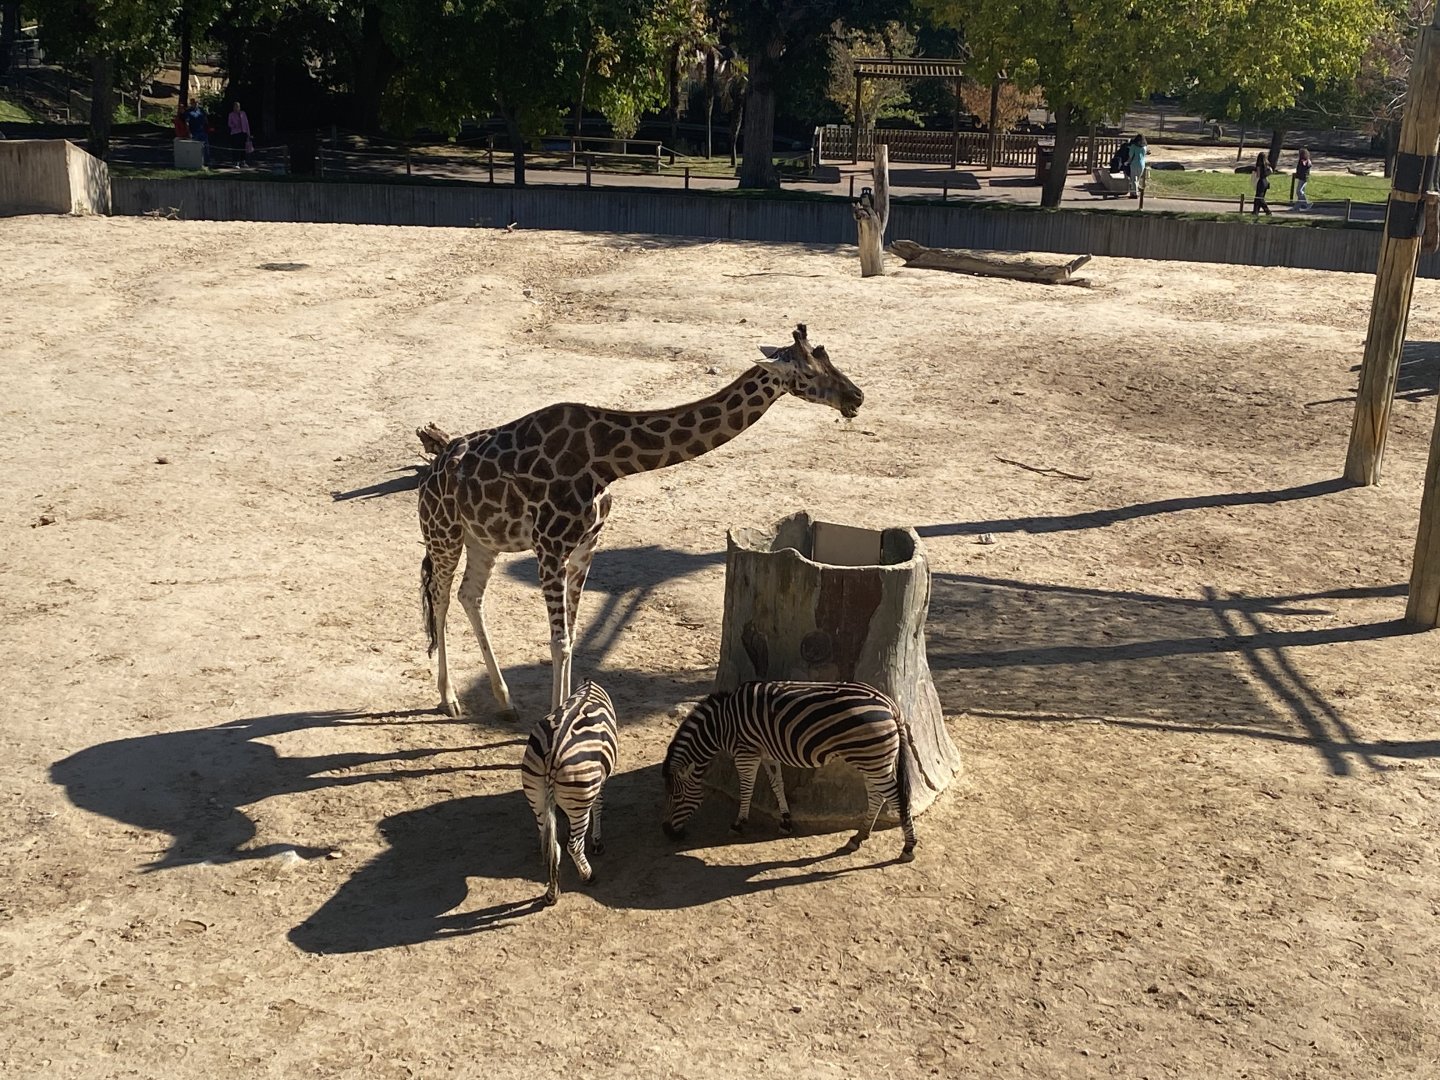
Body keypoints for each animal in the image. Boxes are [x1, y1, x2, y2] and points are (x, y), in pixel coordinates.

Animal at [417, 323, 865, 718]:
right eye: (809, 372)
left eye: (830, 359)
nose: (856, 397)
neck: (607, 461)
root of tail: (431, 474)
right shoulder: (550, 548)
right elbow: (559, 641)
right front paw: (557, 719)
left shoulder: (586, 545)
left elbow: (572, 635)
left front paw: (566, 711)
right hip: (444, 534)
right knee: (440, 597)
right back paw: (449, 699)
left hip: (484, 540)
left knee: (470, 595)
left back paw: (504, 700)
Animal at [520, 681, 618, 905]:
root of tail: (553, 752)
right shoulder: (599, 779)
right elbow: (598, 805)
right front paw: (597, 841)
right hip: (579, 799)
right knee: (573, 846)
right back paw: (588, 876)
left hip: (536, 797)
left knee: (553, 847)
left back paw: (552, 894)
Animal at [661, 680, 920, 861]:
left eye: (677, 796)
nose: (667, 832)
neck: (721, 725)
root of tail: (890, 704)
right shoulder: (767, 754)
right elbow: (777, 784)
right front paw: (785, 821)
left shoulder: (746, 753)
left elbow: (746, 789)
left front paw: (738, 824)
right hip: (872, 760)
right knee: (877, 796)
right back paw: (858, 837)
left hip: (873, 759)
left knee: (895, 797)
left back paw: (908, 847)